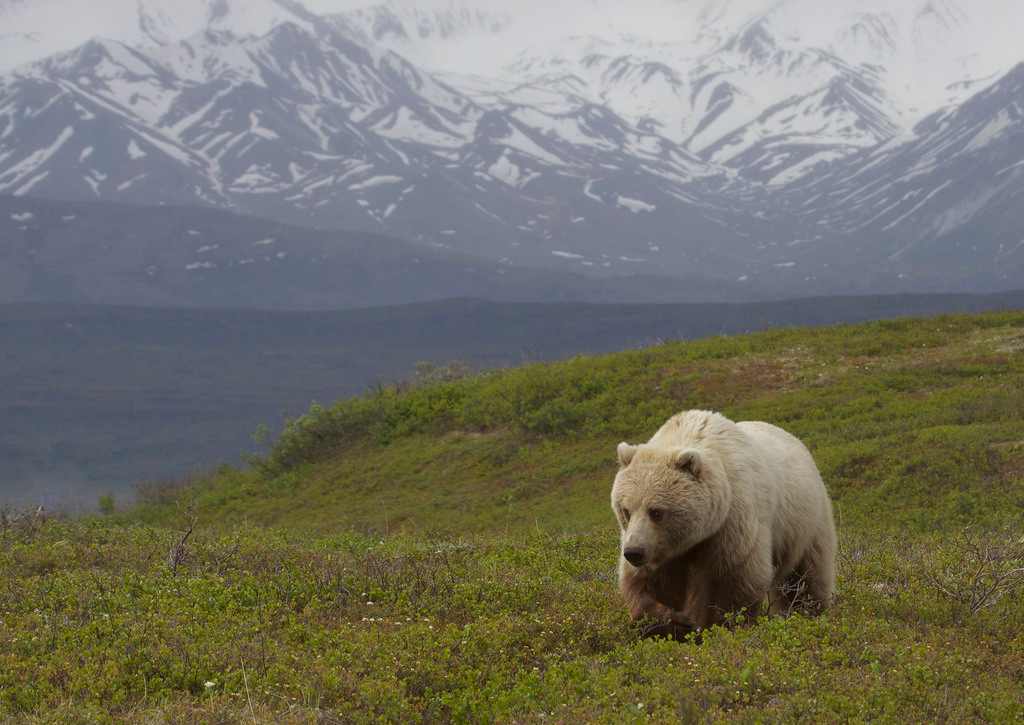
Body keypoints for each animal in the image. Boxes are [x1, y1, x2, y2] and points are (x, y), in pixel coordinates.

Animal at [610, 407, 835, 634]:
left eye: (656, 511)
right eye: (626, 510)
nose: (634, 552)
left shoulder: (732, 522)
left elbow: (734, 580)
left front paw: (716, 624)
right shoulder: (662, 549)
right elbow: (649, 584)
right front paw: (670, 621)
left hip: (805, 522)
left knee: (807, 576)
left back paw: (811, 612)